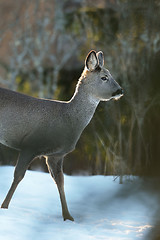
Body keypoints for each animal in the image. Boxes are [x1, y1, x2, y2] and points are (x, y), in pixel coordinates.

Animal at [0, 50, 124, 221]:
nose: (120, 91)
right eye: (104, 77)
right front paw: (4, 207)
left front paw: (68, 217)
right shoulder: (29, 145)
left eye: (110, 74)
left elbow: (60, 181)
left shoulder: (56, 155)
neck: (67, 119)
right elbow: (18, 175)